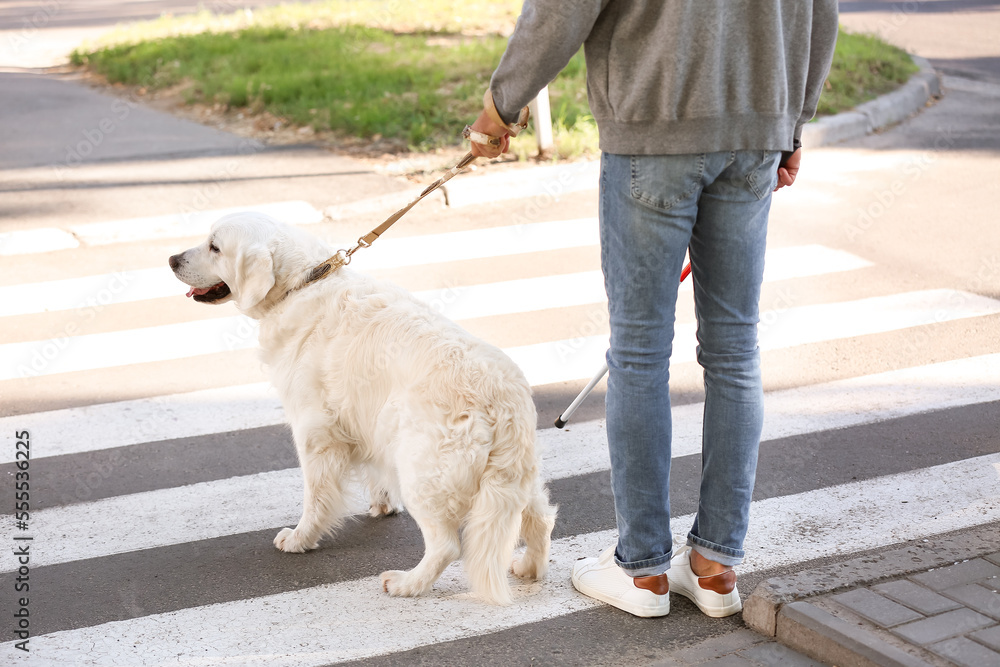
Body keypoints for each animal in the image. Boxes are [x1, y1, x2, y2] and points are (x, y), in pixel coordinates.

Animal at [166, 214, 556, 604]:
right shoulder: (361, 418)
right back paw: (528, 567)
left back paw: (406, 584)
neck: (301, 284)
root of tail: (503, 399)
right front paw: (382, 503)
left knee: (447, 546)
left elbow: (316, 496)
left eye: (215, 247)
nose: (171, 260)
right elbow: (372, 469)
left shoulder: (315, 432)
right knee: (541, 519)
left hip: (421, 472)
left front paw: (300, 538)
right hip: (516, 478)